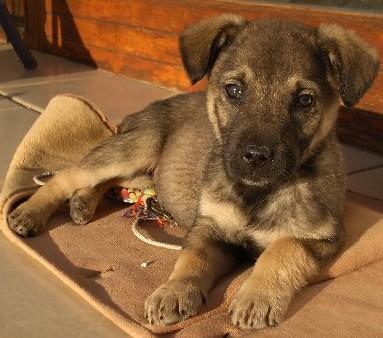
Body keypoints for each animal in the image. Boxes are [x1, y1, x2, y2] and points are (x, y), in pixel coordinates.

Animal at [7, 14, 380, 328]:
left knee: (111, 181)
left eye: (304, 100)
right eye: (234, 90)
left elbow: (281, 252)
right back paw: (31, 212)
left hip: (143, 167)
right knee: (70, 175)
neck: (255, 192)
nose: (255, 156)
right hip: (138, 147)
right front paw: (173, 292)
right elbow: (190, 260)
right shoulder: (209, 227)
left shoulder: (318, 239)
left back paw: (82, 203)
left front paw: (255, 298)